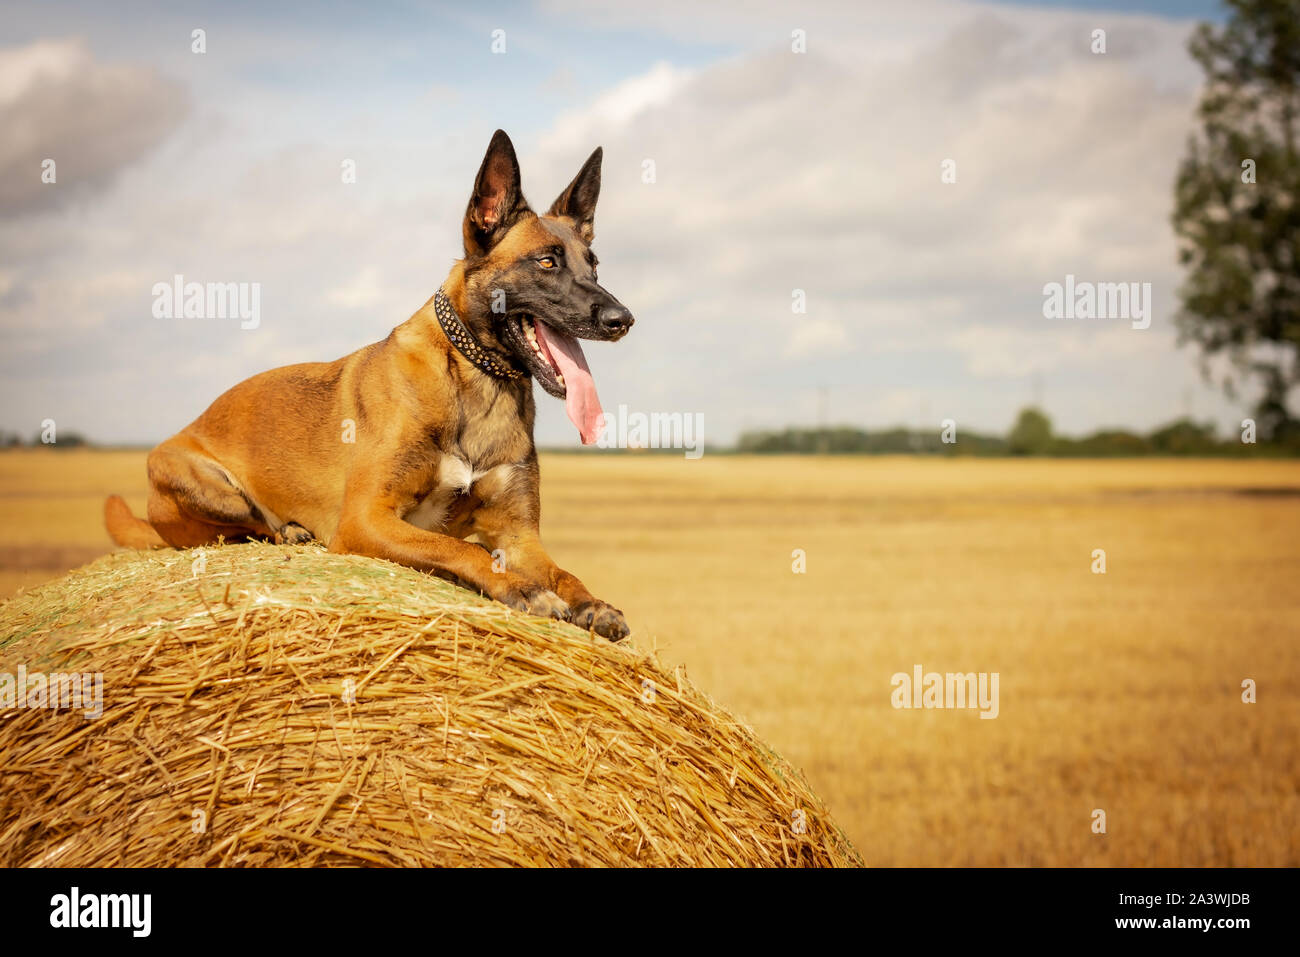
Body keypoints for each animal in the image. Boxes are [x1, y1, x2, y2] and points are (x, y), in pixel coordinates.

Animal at [104, 125, 631, 634]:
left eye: (594, 266)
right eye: (547, 261)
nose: (622, 319)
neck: (477, 381)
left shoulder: (519, 536)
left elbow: (563, 572)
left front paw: (593, 604)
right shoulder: (365, 520)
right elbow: (464, 549)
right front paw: (522, 590)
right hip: (209, 489)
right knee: (248, 525)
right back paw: (289, 531)